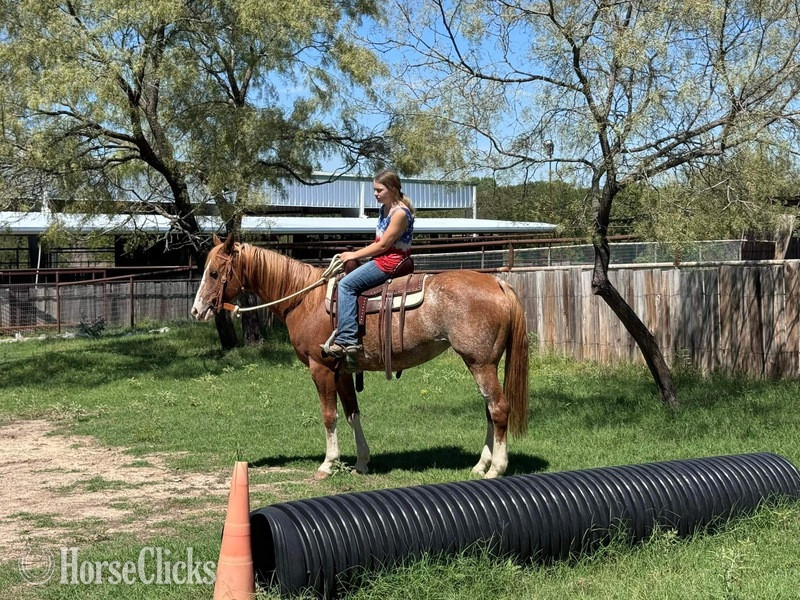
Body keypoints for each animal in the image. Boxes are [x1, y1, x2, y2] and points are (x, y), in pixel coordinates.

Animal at [191, 235, 529, 479]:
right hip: (483, 362)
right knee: (488, 409)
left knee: (499, 408)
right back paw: (480, 465)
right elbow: (352, 413)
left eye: (214, 272)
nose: (197, 311)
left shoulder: (320, 368)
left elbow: (329, 415)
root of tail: (497, 282)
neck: (306, 299)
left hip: (480, 362)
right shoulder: (341, 370)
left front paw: (328, 464)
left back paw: (496, 469)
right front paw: (361, 462)